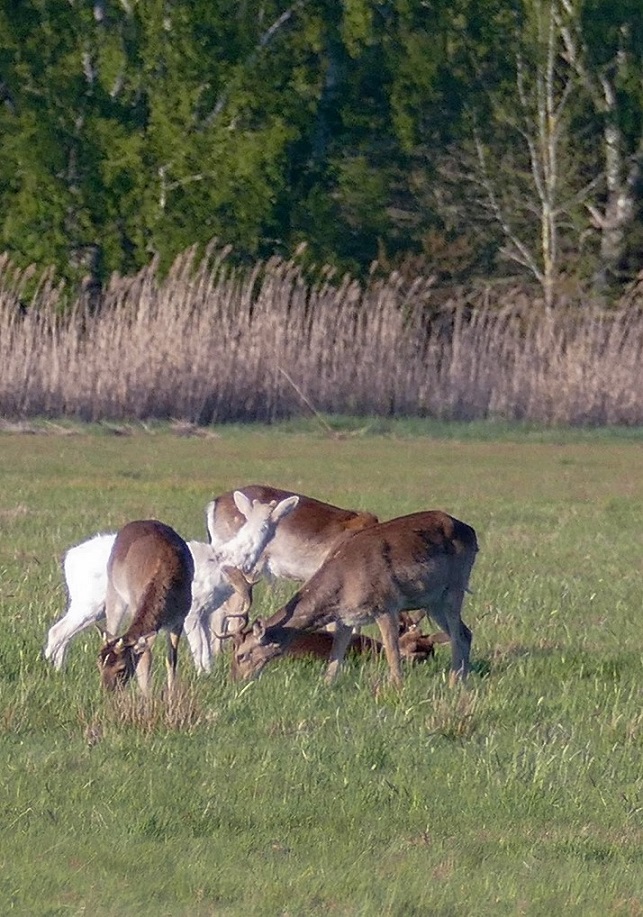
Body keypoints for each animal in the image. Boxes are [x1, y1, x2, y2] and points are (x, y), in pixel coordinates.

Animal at [98, 524, 194, 696]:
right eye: (99, 663)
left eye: (121, 668)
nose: (106, 691)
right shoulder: (135, 603)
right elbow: (146, 658)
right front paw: (146, 695)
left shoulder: (180, 619)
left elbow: (171, 659)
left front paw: (170, 695)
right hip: (113, 592)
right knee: (111, 629)